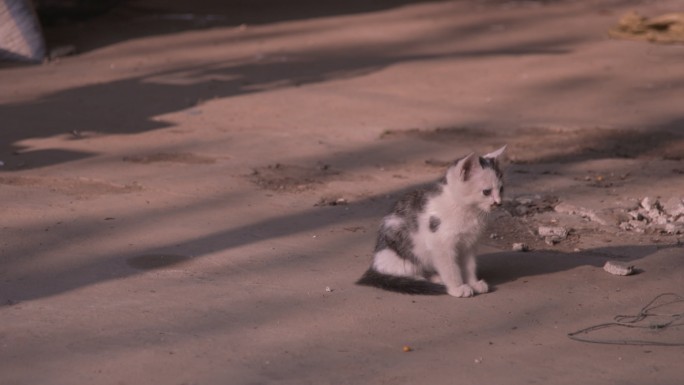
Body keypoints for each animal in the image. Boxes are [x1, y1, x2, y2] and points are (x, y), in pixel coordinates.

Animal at [356, 146, 504, 296]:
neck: (467, 210)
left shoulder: (468, 244)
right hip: (404, 254)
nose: (498, 203)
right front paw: (457, 288)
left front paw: (473, 283)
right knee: (404, 273)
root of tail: (375, 265)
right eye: (486, 192)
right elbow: (450, 268)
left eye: (501, 189)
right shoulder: (440, 244)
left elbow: (469, 265)